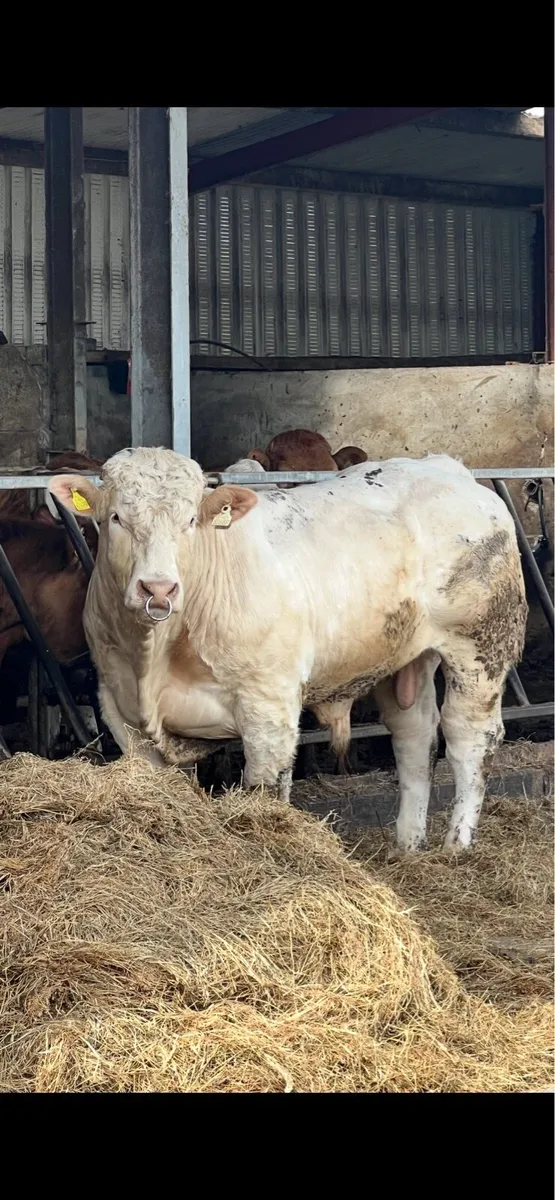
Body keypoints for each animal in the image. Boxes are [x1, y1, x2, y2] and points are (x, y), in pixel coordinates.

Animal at [50, 447, 527, 852]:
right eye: (115, 517)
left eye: (189, 521)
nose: (159, 589)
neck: (156, 655)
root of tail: (446, 467)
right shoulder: (120, 709)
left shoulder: (269, 706)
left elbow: (264, 790)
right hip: (405, 656)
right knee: (414, 737)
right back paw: (407, 847)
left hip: (480, 644)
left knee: (469, 737)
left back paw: (455, 847)